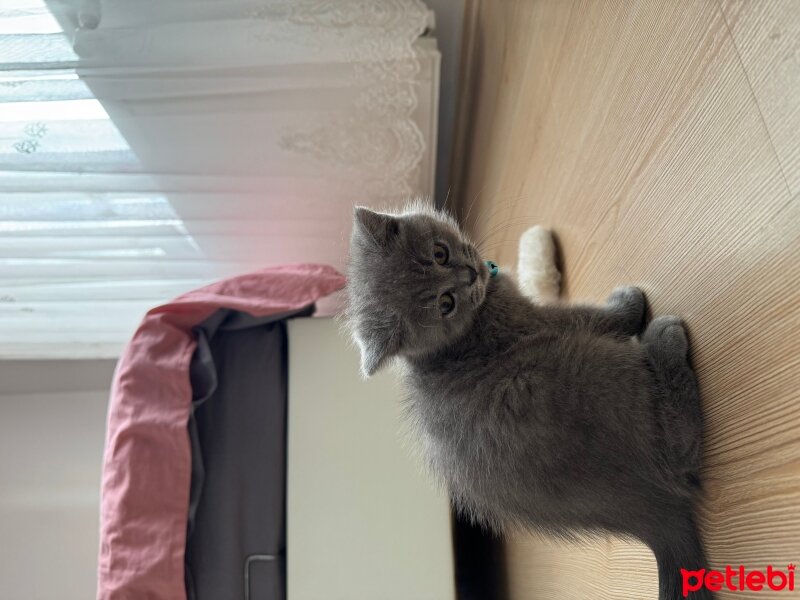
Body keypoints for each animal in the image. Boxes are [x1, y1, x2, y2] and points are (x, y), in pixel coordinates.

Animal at [346, 204, 708, 596]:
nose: (470, 274)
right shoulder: (539, 321)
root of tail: (651, 515)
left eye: (439, 254)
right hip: (601, 377)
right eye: (446, 303)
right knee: (681, 449)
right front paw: (627, 302)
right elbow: (592, 316)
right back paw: (665, 339)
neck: (452, 342)